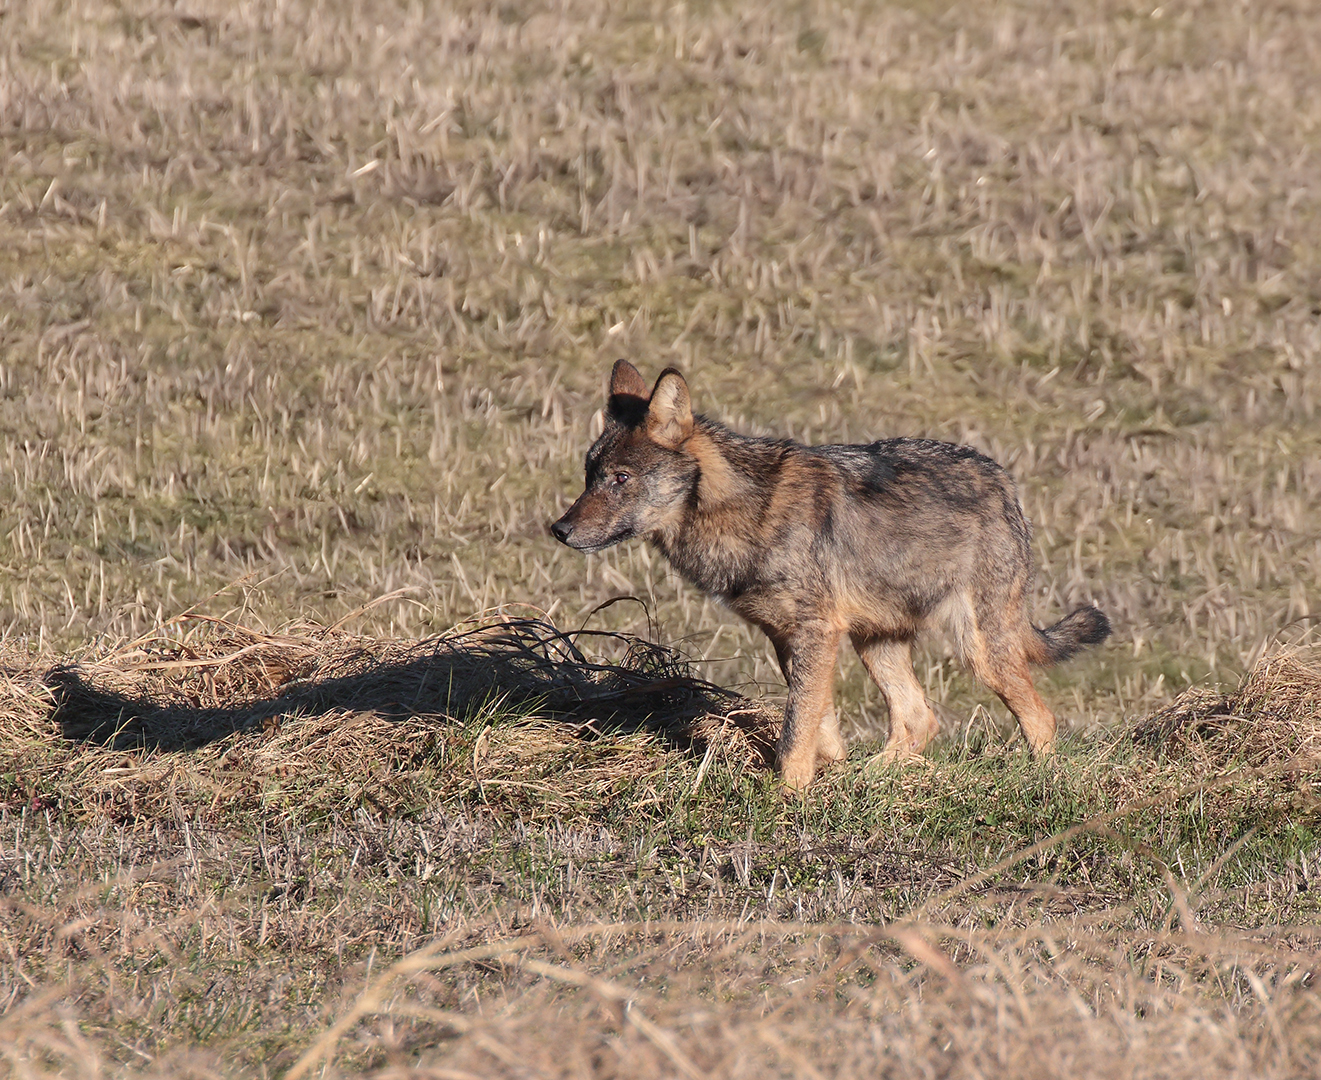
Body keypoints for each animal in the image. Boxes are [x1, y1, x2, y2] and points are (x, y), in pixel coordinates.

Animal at [551, 360, 1110, 790]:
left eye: (620, 479)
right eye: (588, 477)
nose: (559, 529)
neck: (743, 511)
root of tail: (1004, 481)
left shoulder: (816, 633)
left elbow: (797, 729)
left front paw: (788, 797)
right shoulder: (788, 637)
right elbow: (819, 725)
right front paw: (827, 778)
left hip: (979, 650)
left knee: (1040, 719)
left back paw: (1042, 783)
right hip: (874, 642)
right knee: (919, 719)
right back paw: (870, 780)